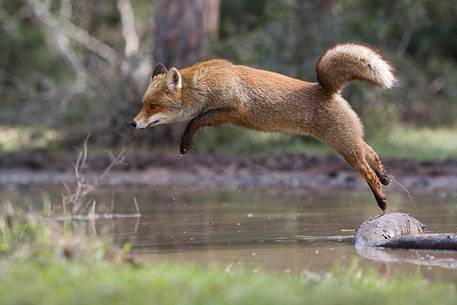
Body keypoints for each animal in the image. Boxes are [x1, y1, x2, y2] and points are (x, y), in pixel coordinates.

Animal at [132, 42, 396, 211]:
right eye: (143, 104)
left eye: (153, 106)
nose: (132, 122)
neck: (202, 85)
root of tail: (324, 89)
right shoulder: (228, 116)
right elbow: (196, 119)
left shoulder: (232, 109)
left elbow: (194, 121)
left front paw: (185, 143)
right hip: (349, 141)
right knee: (371, 153)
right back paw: (385, 178)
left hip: (344, 147)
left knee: (367, 171)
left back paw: (382, 200)